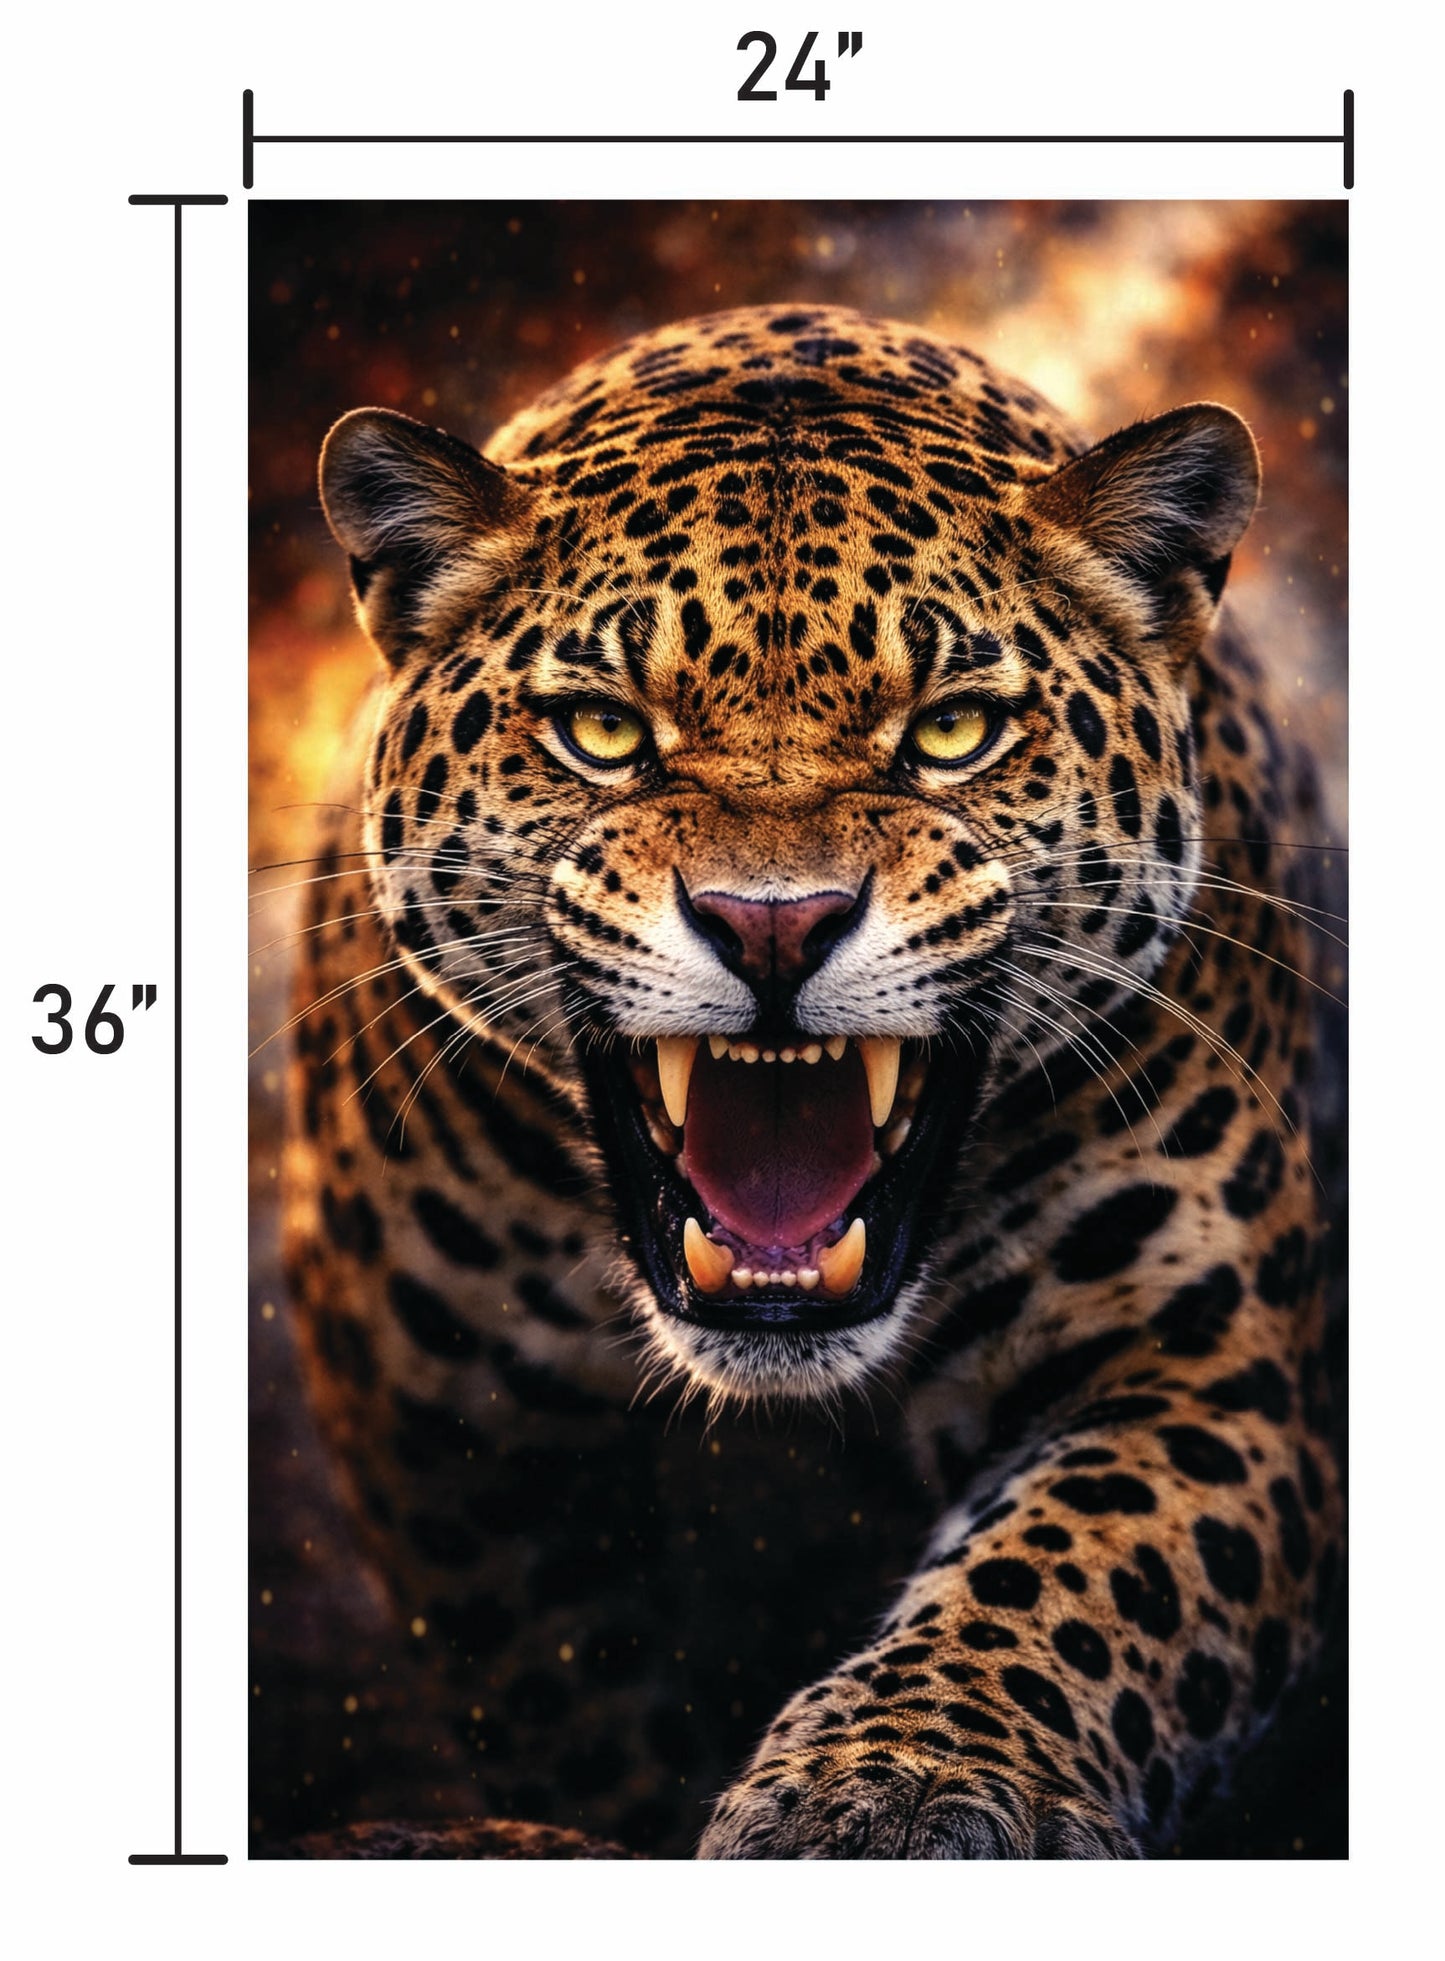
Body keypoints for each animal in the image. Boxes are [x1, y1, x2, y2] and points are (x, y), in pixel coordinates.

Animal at [280, 303, 1343, 1858]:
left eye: (953, 729)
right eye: (602, 730)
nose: (771, 923)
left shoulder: (1203, 1368)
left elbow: (1065, 1577)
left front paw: (900, 1786)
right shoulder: (458, 1444)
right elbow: (574, 1699)